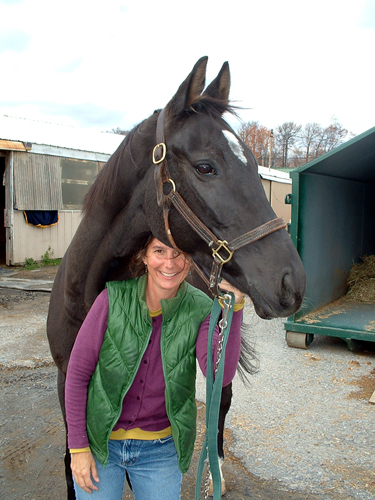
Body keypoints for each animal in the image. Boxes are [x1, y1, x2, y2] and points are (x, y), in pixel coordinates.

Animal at [47, 56, 306, 498]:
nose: (292, 283)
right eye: (205, 167)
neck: (84, 295)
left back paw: (215, 471)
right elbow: (72, 455)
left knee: (222, 399)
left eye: (257, 166)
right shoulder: (67, 381)